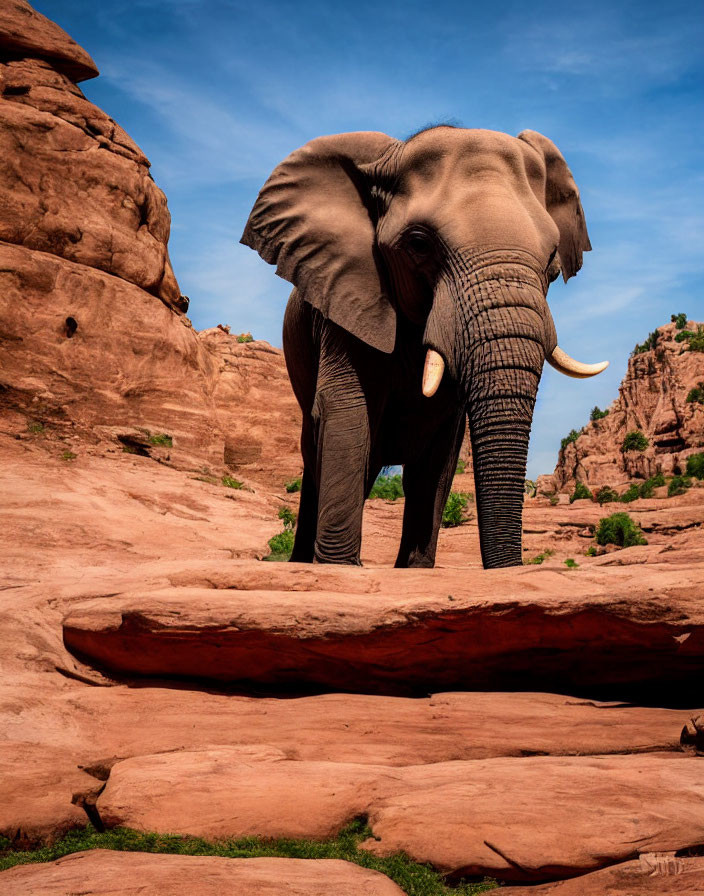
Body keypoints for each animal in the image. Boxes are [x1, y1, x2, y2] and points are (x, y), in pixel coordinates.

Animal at [241, 128, 604, 568]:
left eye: (553, 258)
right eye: (418, 244)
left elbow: (440, 445)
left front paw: (411, 569)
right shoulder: (346, 296)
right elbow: (346, 409)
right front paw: (340, 569)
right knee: (318, 456)